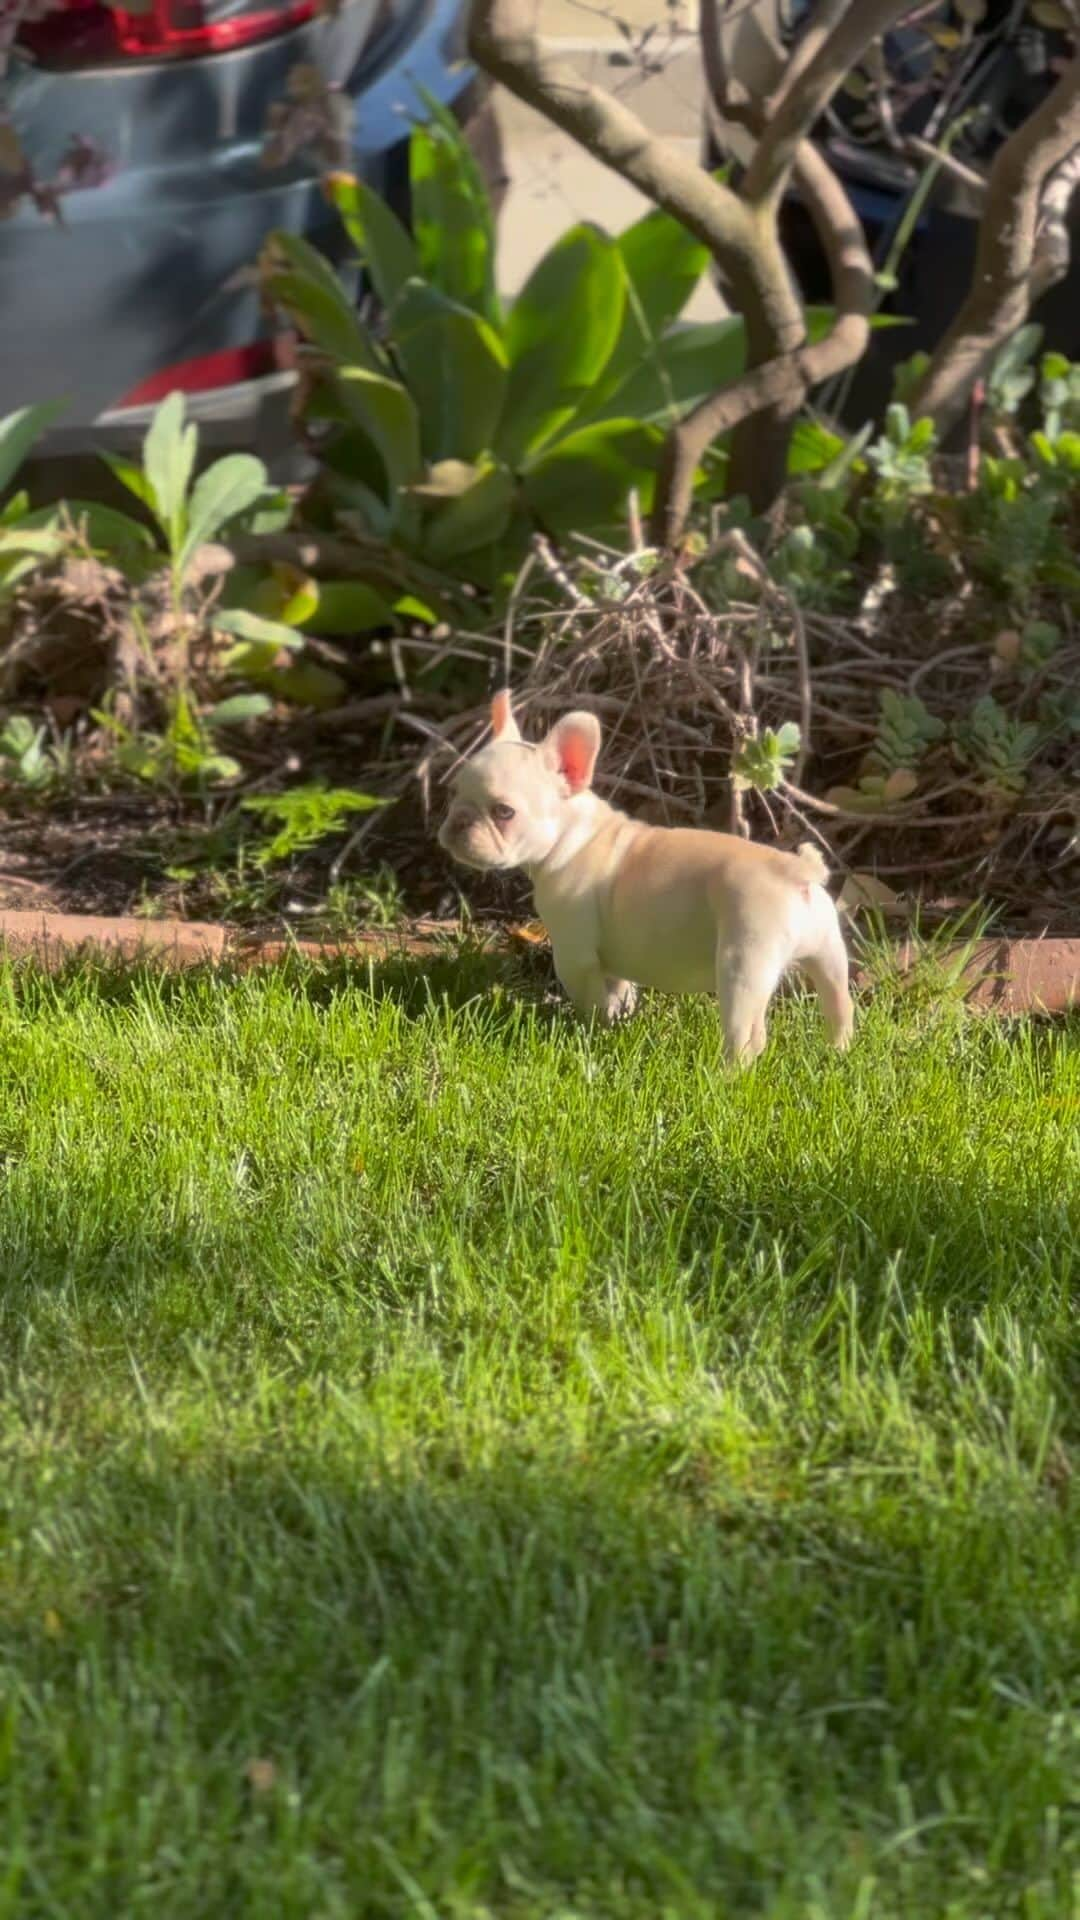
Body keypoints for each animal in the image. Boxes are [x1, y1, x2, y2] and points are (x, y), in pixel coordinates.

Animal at [434, 691, 849, 1067]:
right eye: (452, 793)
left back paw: (726, 1078)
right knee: (840, 1005)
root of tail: (795, 871)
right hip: (829, 951)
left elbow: (592, 999)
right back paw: (837, 1054)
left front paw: (594, 1032)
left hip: (744, 963)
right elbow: (618, 989)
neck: (573, 834)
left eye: (504, 812)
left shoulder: (574, 954)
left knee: (747, 1037)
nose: (458, 821)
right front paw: (621, 1019)